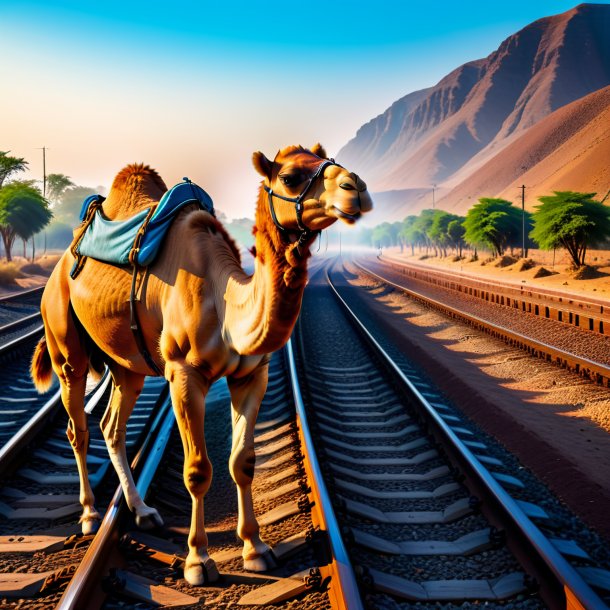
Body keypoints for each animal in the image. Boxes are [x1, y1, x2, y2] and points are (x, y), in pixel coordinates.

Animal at [29, 144, 370, 584]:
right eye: (290, 177)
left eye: (331, 163)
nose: (356, 187)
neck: (225, 304)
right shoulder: (183, 374)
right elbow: (197, 470)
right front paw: (198, 560)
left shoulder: (252, 375)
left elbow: (243, 462)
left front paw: (257, 548)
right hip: (64, 341)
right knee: (78, 427)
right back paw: (89, 515)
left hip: (127, 364)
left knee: (111, 425)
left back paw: (143, 511)